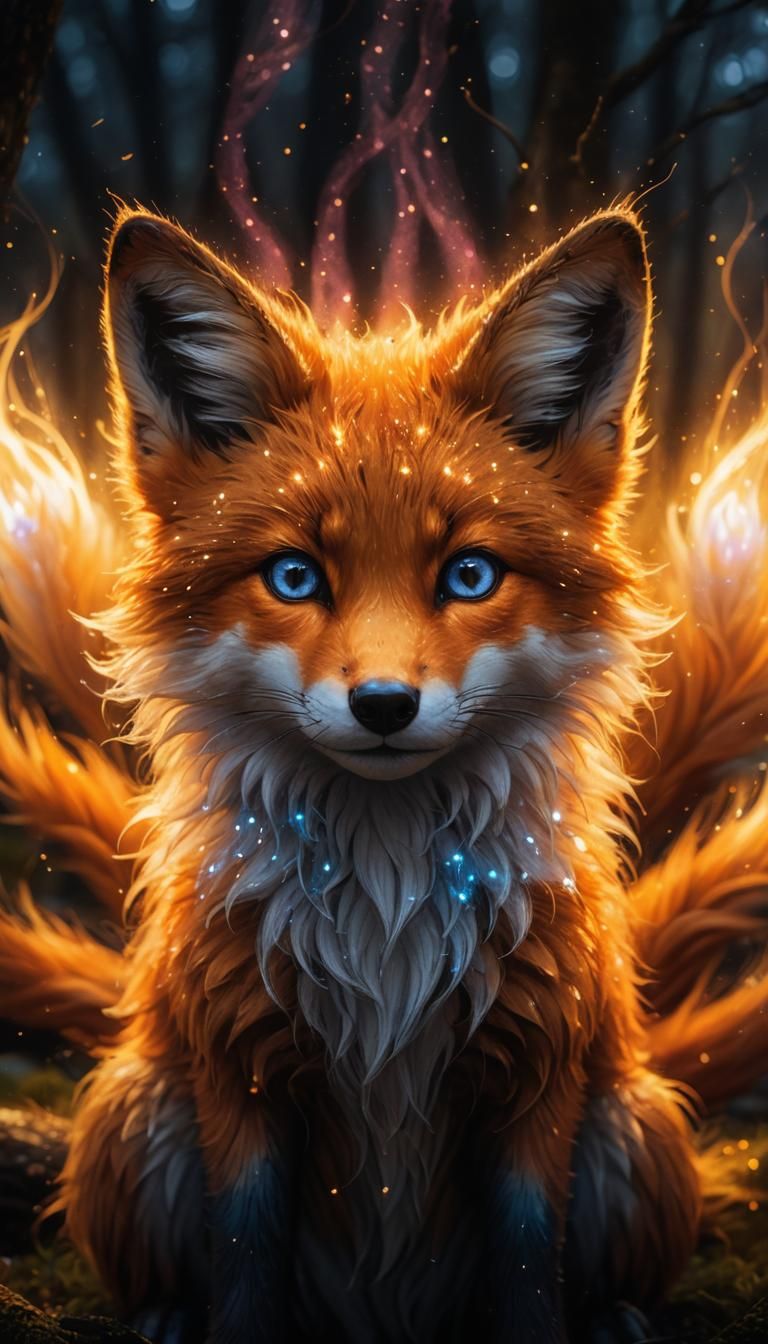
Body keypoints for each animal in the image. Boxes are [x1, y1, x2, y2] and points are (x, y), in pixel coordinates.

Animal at [0, 205, 768, 1344]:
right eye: (294, 576)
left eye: (469, 574)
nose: (384, 706)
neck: (387, 920)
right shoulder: (245, 1070)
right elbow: (243, 1270)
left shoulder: (533, 1075)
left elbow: (531, 1275)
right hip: (133, 1116)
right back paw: (163, 1316)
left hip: (634, 1130)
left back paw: (621, 1316)